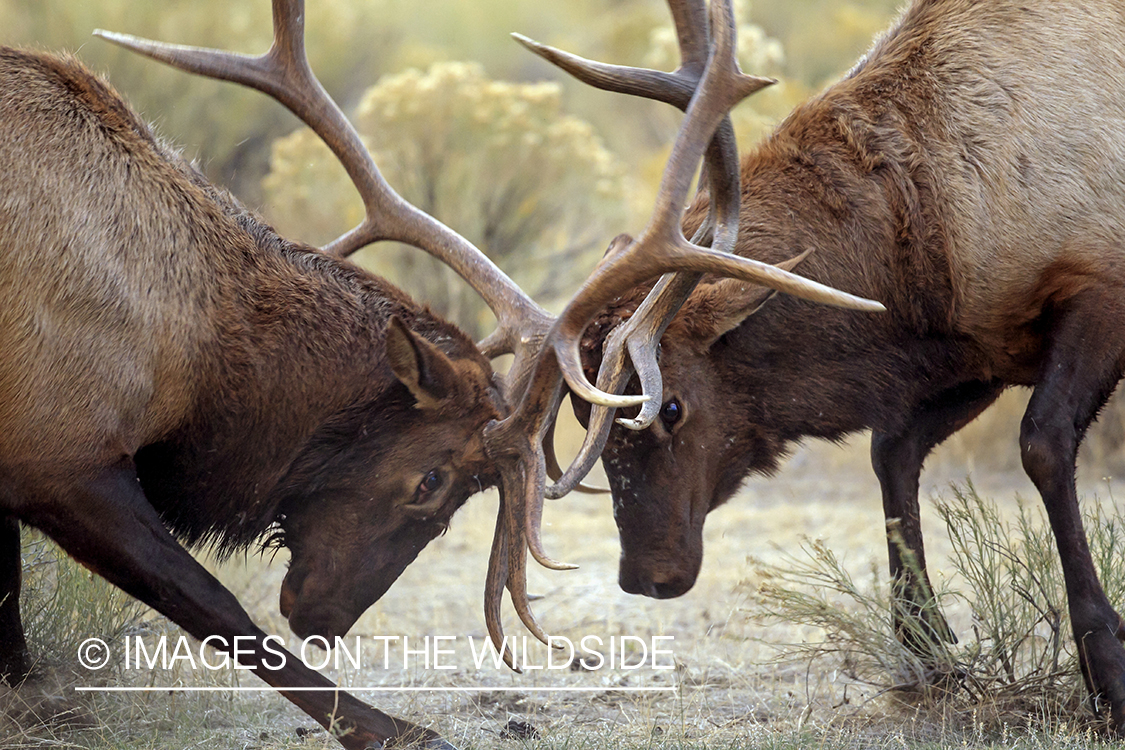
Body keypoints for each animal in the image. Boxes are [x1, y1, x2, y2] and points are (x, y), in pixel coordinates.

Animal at [0, 0, 881, 746]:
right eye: (431, 479)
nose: (326, 619)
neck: (192, 352)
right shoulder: (62, 450)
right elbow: (210, 603)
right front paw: (389, 727)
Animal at [511, 0, 1125, 732]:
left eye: (670, 405)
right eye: (582, 414)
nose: (643, 576)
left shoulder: (1099, 285)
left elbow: (1041, 443)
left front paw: (1107, 668)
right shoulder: (982, 348)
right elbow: (891, 451)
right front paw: (926, 649)